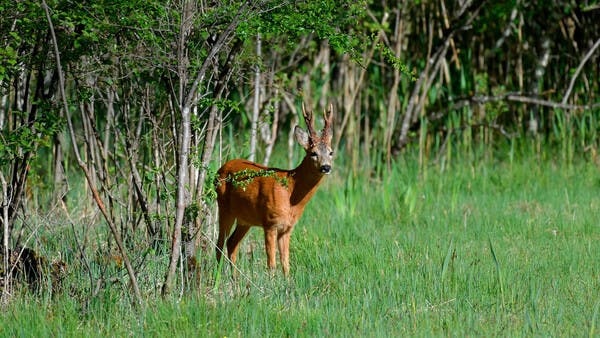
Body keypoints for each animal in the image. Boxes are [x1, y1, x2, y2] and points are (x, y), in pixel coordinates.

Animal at [216, 104, 336, 276]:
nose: (326, 167)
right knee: (219, 244)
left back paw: (235, 279)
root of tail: (220, 169)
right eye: (313, 153)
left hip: (245, 219)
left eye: (331, 152)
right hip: (224, 208)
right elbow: (271, 264)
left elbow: (286, 263)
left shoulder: (287, 227)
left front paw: (287, 281)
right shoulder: (270, 222)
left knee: (232, 243)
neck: (291, 194)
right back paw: (217, 278)